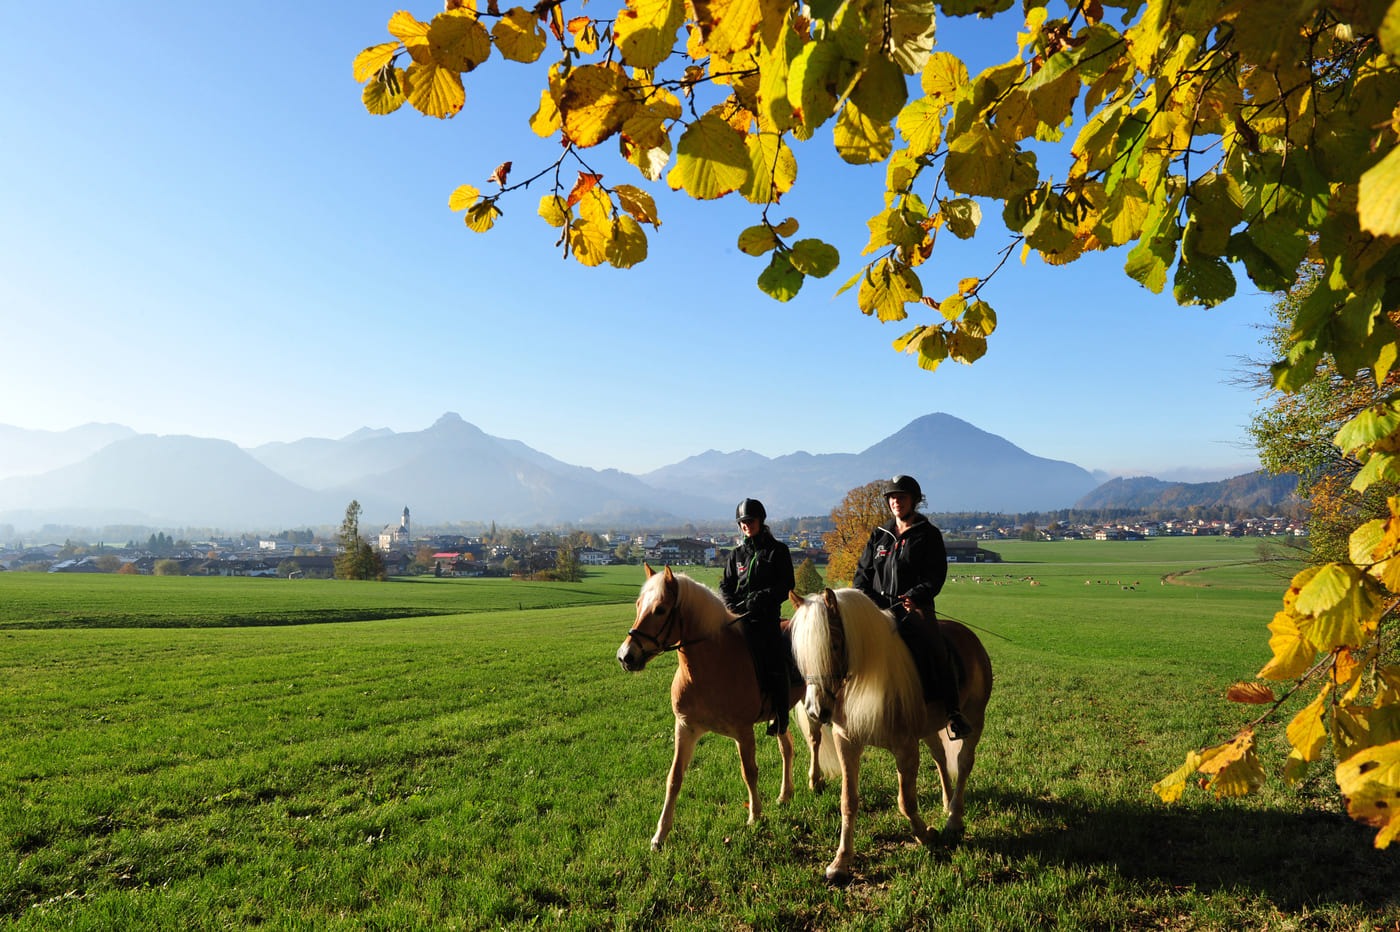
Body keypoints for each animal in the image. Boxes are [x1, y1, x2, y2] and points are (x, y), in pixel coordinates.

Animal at [618, 562, 834, 845]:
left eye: (661, 609)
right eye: (638, 605)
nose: (626, 657)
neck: (710, 664)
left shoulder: (743, 732)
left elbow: (749, 772)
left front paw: (755, 815)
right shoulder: (684, 728)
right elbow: (674, 778)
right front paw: (660, 834)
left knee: (814, 740)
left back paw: (814, 780)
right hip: (780, 714)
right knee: (787, 748)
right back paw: (785, 795)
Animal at [789, 584, 996, 884]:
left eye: (834, 645)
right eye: (801, 654)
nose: (816, 710)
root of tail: (968, 636)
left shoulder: (905, 748)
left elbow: (905, 802)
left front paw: (927, 835)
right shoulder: (847, 743)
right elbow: (848, 801)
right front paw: (840, 862)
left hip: (975, 718)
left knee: (964, 763)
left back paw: (954, 819)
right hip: (930, 728)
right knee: (940, 757)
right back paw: (947, 803)